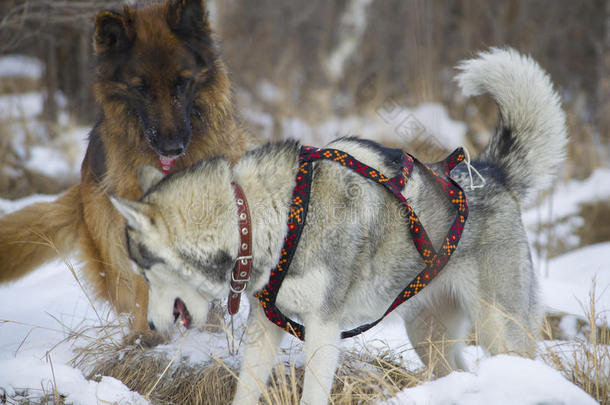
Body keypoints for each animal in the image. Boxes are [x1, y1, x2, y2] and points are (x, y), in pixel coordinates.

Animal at [110, 48, 564, 404]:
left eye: (145, 270)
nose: (151, 328)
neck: (265, 217)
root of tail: (490, 171)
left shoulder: (322, 329)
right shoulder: (265, 327)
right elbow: (245, 390)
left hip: (500, 329)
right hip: (427, 335)